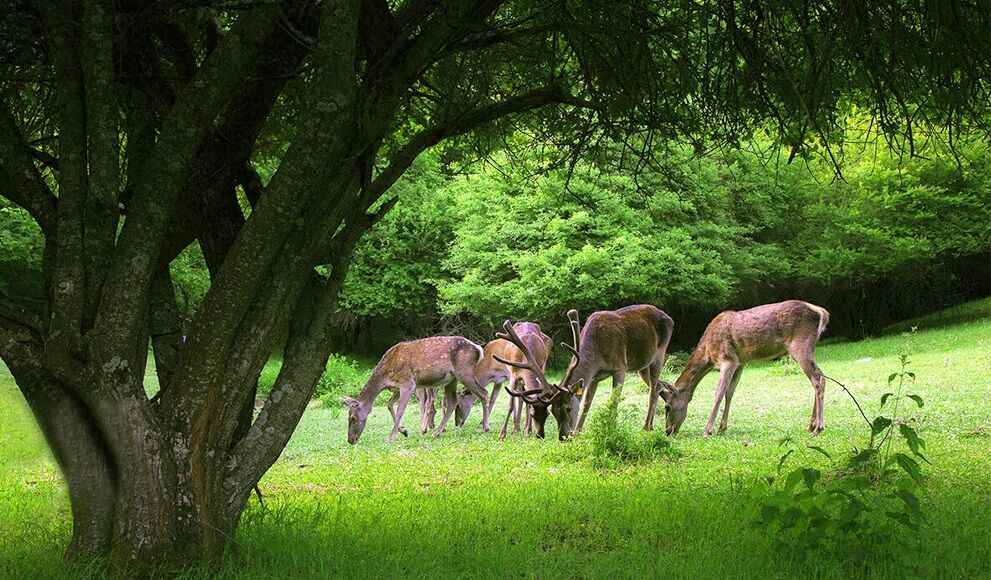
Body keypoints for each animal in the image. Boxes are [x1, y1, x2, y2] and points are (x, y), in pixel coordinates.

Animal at [342, 336, 490, 444]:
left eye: (352, 418)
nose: (350, 440)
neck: (385, 376)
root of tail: (478, 349)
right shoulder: (396, 388)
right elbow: (389, 405)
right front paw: (404, 431)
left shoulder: (408, 383)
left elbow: (400, 410)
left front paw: (391, 437)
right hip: (451, 379)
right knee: (453, 402)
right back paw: (437, 432)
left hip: (464, 372)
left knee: (484, 393)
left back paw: (485, 427)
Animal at [500, 306, 680, 438]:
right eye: (552, 411)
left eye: (568, 408)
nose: (563, 437)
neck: (597, 353)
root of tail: (670, 318)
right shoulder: (595, 377)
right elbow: (586, 402)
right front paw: (578, 432)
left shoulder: (620, 366)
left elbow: (613, 401)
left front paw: (610, 429)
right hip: (642, 366)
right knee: (658, 386)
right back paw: (656, 423)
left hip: (659, 355)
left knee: (653, 390)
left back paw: (646, 426)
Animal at [664, 300, 832, 436]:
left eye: (667, 406)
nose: (668, 431)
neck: (708, 355)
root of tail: (821, 312)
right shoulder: (740, 363)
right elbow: (730, 392)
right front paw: (722, 428)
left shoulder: (728, 358)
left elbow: (718, 393)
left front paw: (708, 430)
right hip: (808, 348)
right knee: (819, 378)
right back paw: (811, 425)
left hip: (800, 345)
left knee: (818, 379)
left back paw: (818, 428)